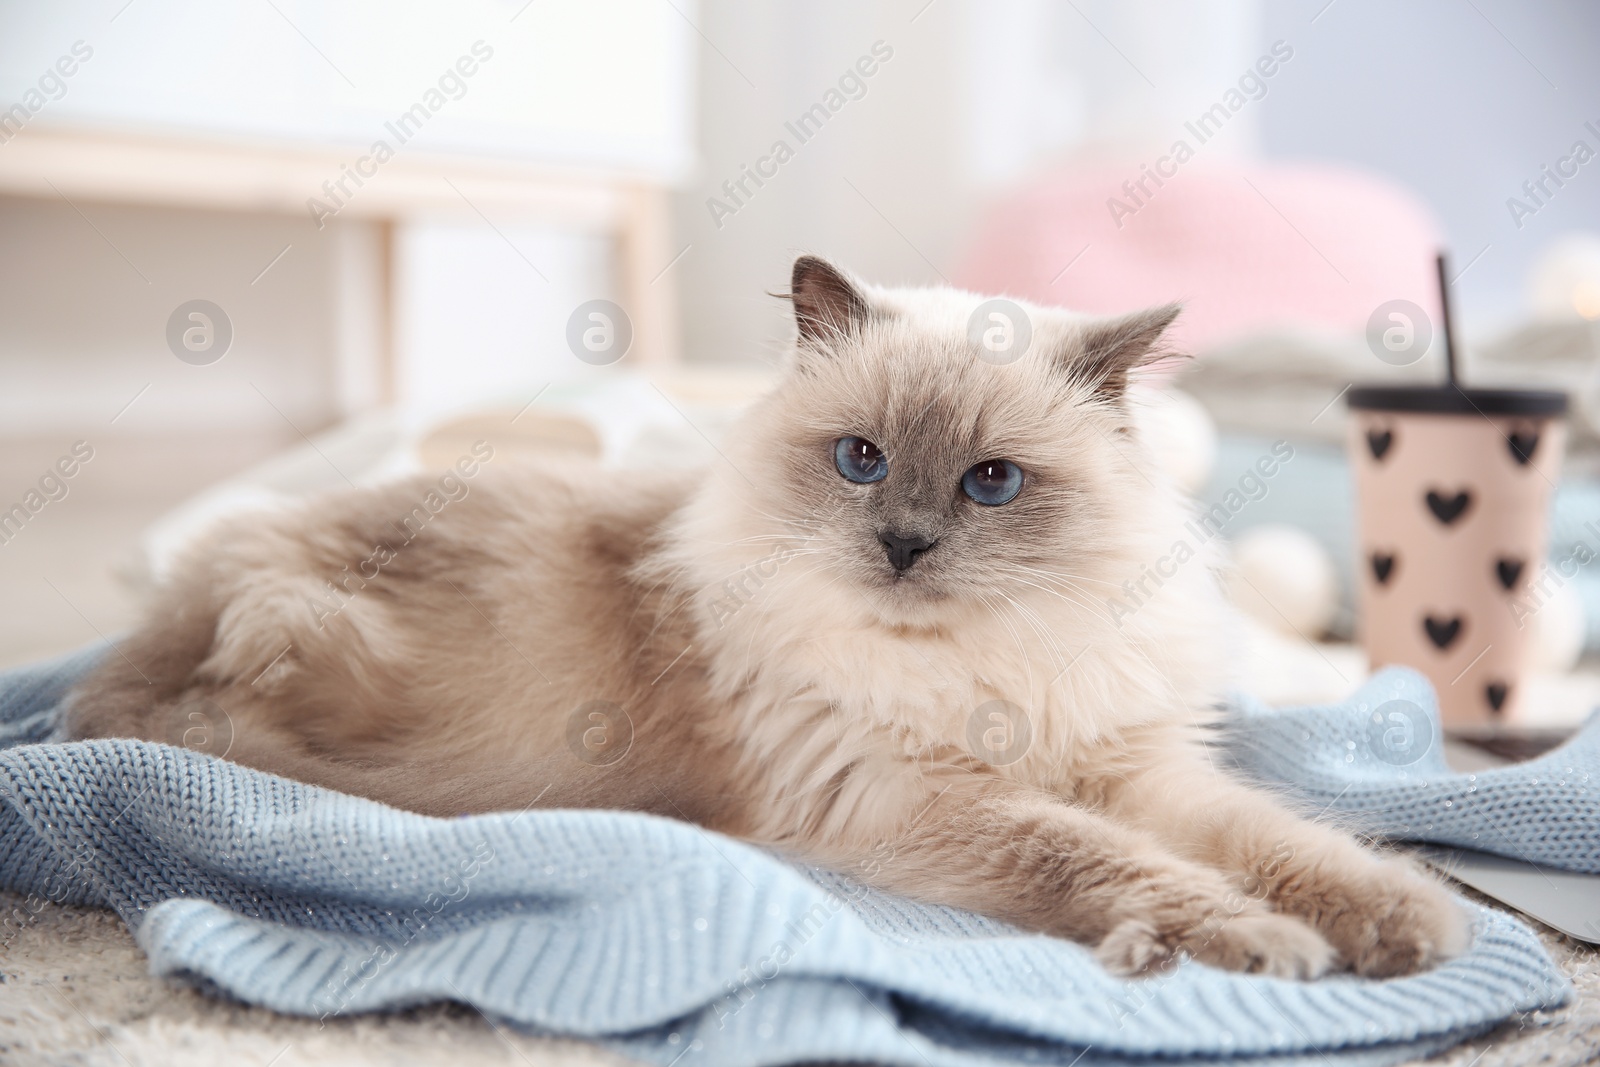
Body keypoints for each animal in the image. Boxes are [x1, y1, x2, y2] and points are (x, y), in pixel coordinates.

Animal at [68, 255, 1465, 979]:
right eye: (858, 459)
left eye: (990, 482)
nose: (902, 544)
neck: (979, 666)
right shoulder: (920, 801)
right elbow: (1117, 867)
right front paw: (1256, 944)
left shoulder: (1135, 771)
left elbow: (1282, 841)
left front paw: (1401, 925)